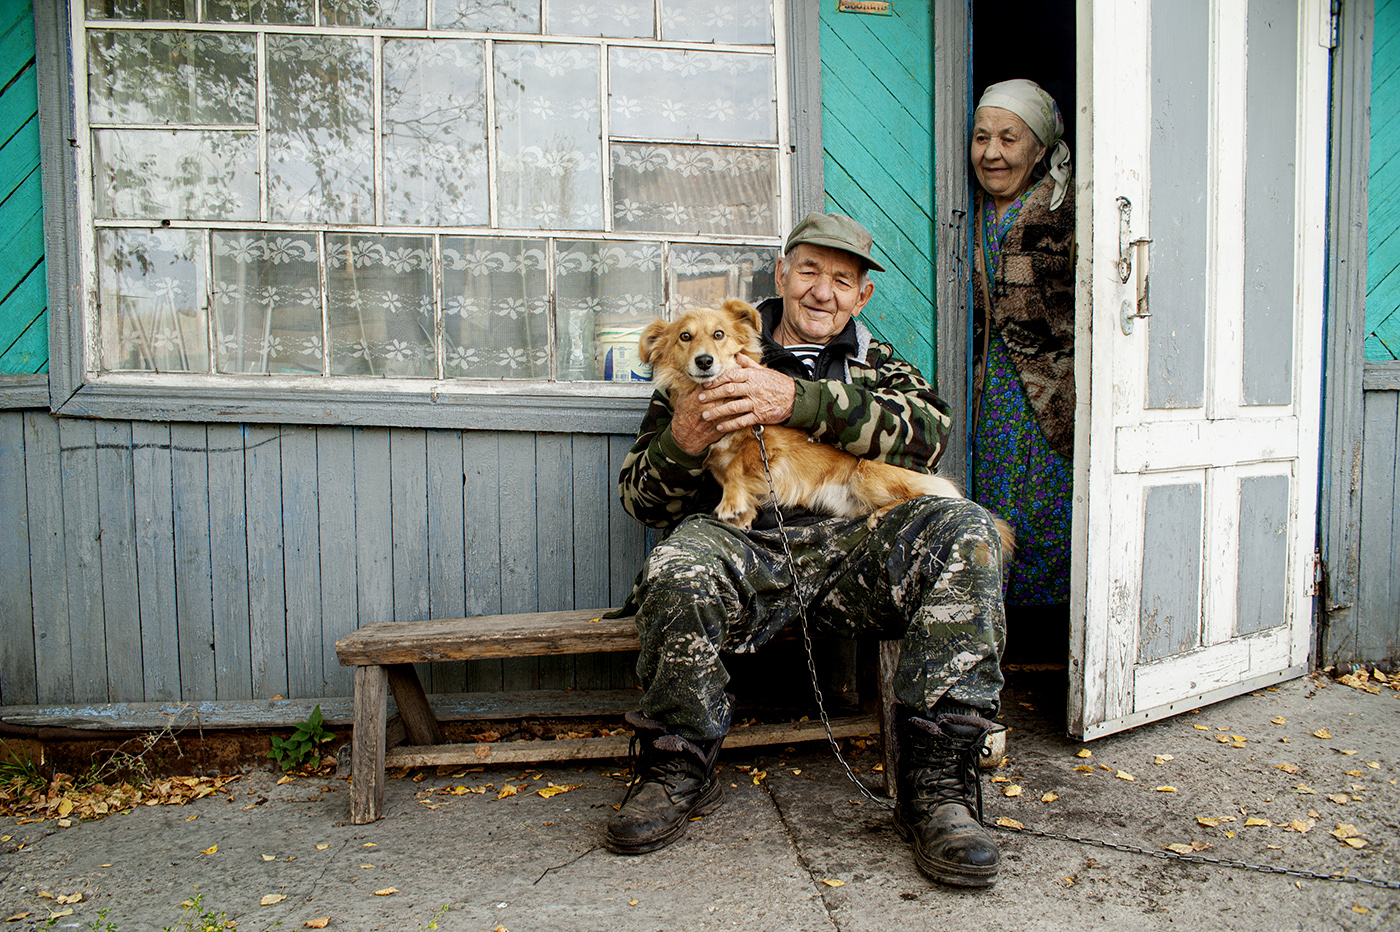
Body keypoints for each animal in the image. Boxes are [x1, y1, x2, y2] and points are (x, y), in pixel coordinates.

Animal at [635, 295, 1008, 545]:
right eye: (684, 337)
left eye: (719, 335)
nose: (704, 361)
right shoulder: (714, 457)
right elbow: (727, 472)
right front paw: (743, 514)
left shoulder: (768, 442)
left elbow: (738, 466)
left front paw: (731, 503)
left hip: (868, 473)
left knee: (931, 497)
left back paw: (885, 513)